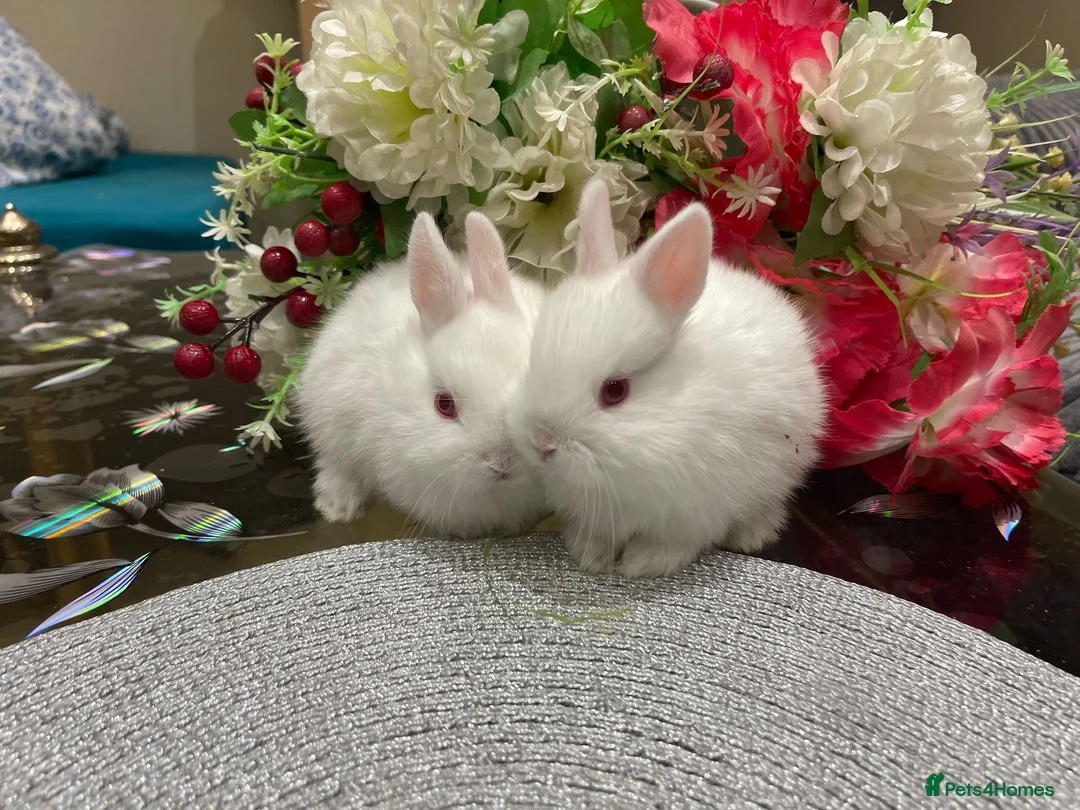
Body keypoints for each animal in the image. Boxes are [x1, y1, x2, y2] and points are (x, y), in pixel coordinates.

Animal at [509, 178, 827, 578]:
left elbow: (673, 545)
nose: (542, 441)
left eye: (615, 391)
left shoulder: (693, 513)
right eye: (532, 359)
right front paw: (591, 556)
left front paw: (640, 564)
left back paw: (753, 535)